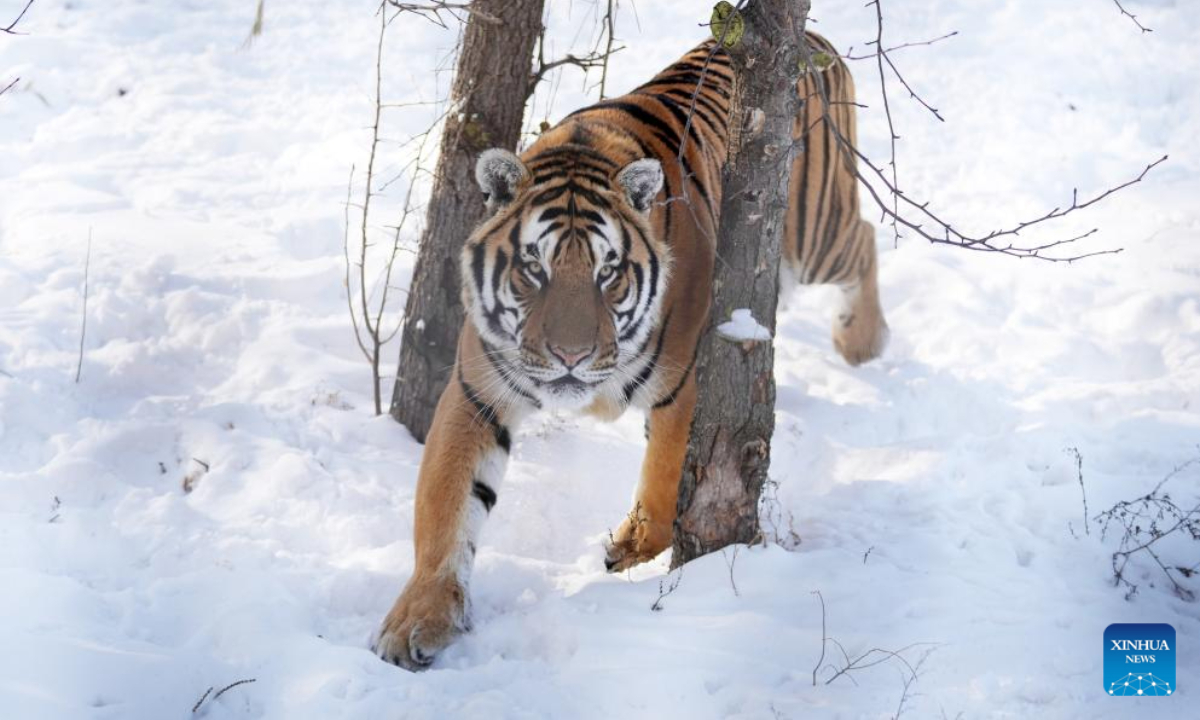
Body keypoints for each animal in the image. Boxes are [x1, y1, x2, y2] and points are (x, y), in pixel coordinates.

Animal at [374, 32, 892, 667]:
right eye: (534, 268)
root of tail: (818, 44)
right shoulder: (478, 393)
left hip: (815, 238)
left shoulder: (687, 382)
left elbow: (666, 486)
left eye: (609, 272)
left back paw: (861, 343)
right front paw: (417, 620)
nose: (571, 357)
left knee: (864, 238)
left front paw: (628, 549)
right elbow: (445, 508)